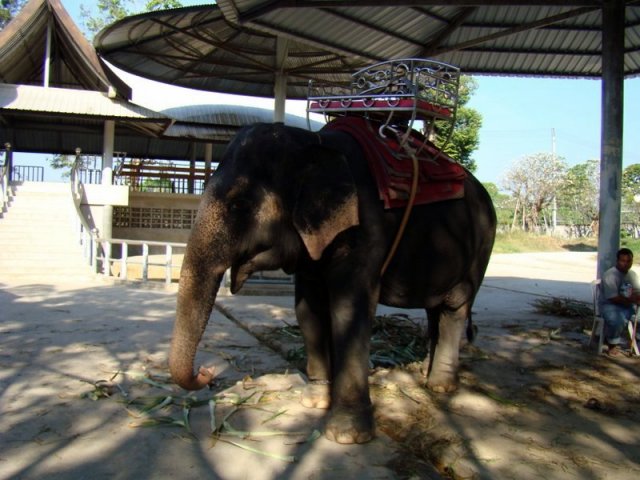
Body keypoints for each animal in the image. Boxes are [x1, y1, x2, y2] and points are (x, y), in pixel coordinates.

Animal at [168, 122, 498, 444]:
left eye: (239, 204)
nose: (207, 372)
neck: (312, 142)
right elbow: (308, 310)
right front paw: (315, 402)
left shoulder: (365, 230)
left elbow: (349, 309)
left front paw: (347, 435)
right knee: (435, 309)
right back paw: (426, 373)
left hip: (481, 246)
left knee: (455, 306)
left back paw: (441, 385)